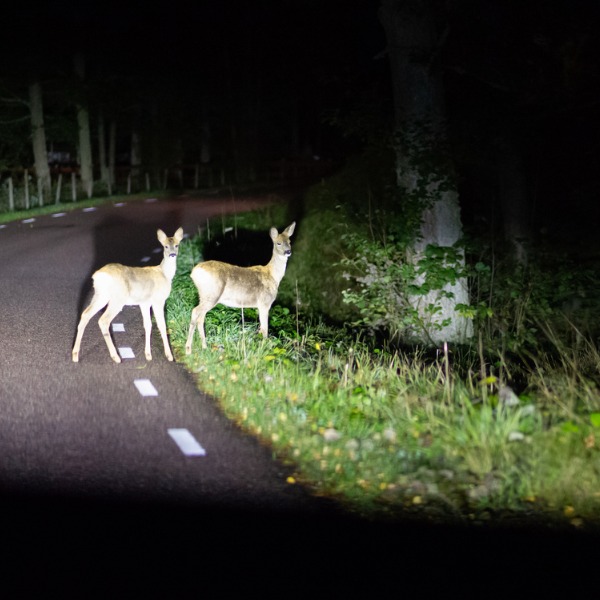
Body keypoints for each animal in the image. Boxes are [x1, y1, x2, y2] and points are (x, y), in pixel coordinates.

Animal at [71, 227, 183, 364]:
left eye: (177, 245)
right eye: (165, 246)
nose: (173, 254)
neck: (165, 274)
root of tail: (98, 276)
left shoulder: (144, 303)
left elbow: (147, 325)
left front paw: (148, 355)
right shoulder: (158, 300)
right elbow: (162, 325)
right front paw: (169, 356)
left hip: (100, 295)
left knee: (85, 314)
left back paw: (75, 355)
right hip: (117, 298)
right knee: (103, 320)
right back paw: (116, 357)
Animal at [183, 220, 296, 352]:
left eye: (289, 242)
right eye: (278, 243)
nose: (288, 252)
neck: (272, 275)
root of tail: (194, 272)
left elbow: (262, 328)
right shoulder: (264, 303)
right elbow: (265, 329)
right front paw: (264, 348)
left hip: (205, 295)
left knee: (201, 317)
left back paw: (204, 347)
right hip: (212, 294)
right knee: (195, 311)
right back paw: (188, 349)